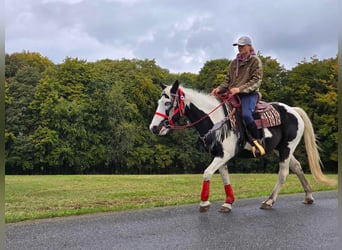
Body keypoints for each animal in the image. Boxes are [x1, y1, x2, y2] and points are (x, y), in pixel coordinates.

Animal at [149, 80, 336, 213]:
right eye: (159, 101)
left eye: (168, 103)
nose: (154, 128)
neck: (216, 119)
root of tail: (294, 110)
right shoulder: (218, 155)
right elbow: (225, 177)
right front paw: (228, 202)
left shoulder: (224, 154)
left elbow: (207, 173)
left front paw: (204, 202)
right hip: (281, 149)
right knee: (297, 167)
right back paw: (309, 196)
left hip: (287, 148)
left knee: (283, 173)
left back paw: (269, 201)